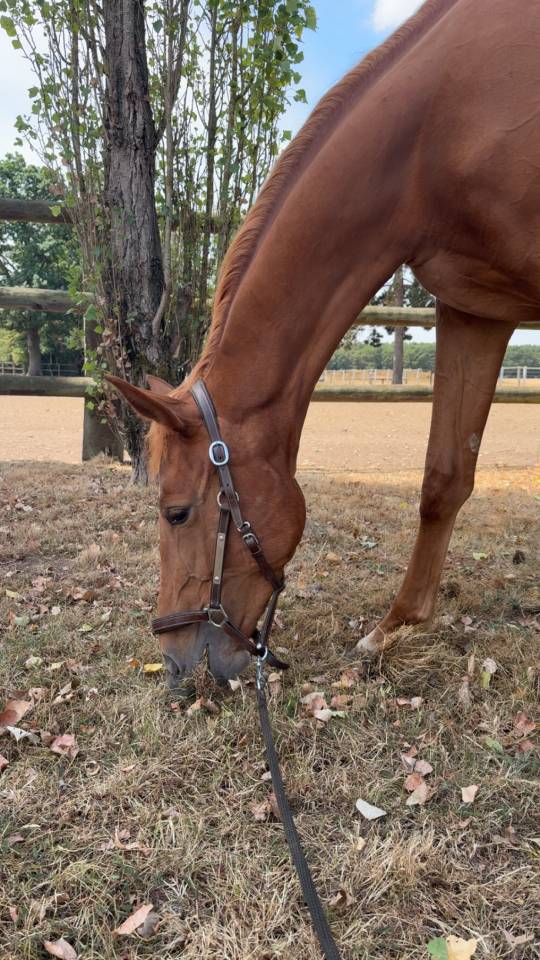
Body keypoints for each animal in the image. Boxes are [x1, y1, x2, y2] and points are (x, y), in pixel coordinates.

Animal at [109, 0, 540, 686]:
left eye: (175, 512)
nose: (173, 662)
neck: (440, 127)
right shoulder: (476, 308)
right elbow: (443, 478)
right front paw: (396, 627)